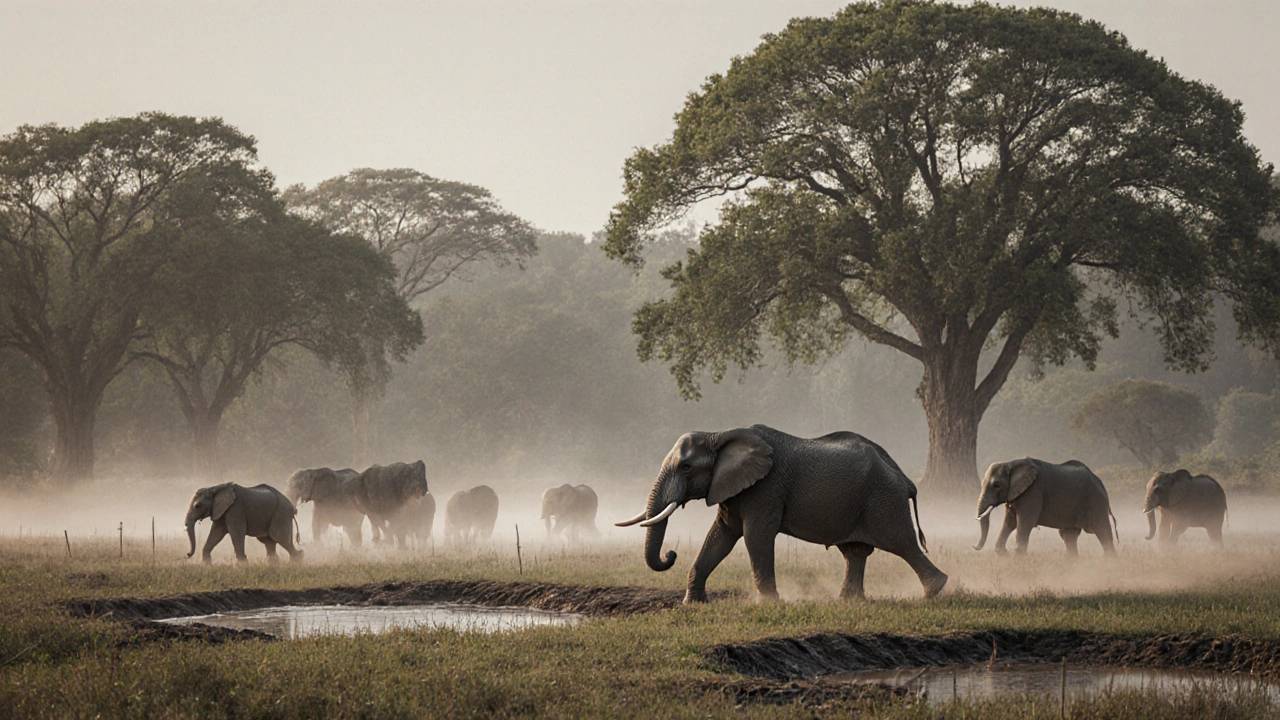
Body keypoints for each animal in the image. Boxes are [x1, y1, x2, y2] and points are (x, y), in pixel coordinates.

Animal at [615, 425, 947, 604]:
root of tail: (905, 478)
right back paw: (849, 602)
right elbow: (720, 537)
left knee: (901, 543)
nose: (670, 554)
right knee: (856, 552)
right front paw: (691, 604)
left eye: (686, 467)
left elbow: (755, 537)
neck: (718, 434)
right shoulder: (733, 489)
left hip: (883, 499)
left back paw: (934, 592)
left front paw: (767, 603)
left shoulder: (766, 488)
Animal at [974, 458, 1117, 556]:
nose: (974, 547)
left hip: (1096, 501)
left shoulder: (1032, 493)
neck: (1011, 463)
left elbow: (1024, 523)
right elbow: (1010, 522)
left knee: (1103, 532)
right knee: (1069, 535)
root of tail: (1101, 484)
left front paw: (1018, 560)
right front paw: (1007, 556)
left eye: (996, 485)